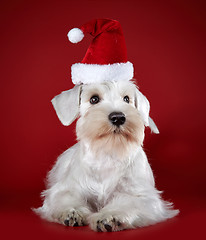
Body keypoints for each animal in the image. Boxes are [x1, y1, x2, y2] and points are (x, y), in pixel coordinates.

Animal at [33, 80, 179, 231]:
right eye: (94, 99)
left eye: (126, 99)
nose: (118, 117)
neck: (108, 153)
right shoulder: (66, 189)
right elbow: (65, 197)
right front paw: (72, 212)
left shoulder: (142, 196)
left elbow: (127, 203)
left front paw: (109, 216)